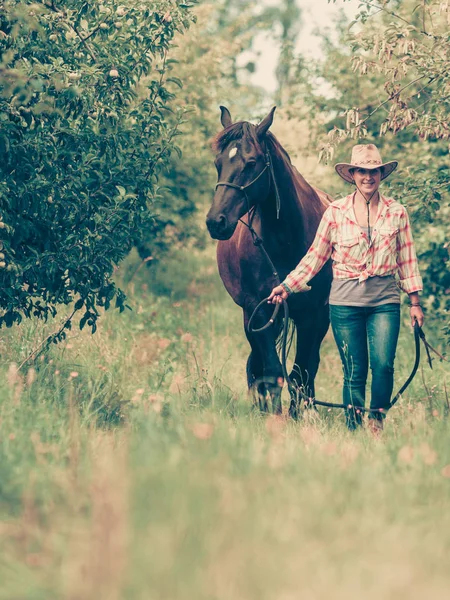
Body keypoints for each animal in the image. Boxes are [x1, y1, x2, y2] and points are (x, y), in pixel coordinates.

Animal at [206, 106, 332, 418]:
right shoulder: (258, 309)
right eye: (218, 163)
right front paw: (273, 416)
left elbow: (301, 371)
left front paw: (300, 415)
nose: (216, 222)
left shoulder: (313, 313)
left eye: (251, 163)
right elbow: (273, 371)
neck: (286, 240)